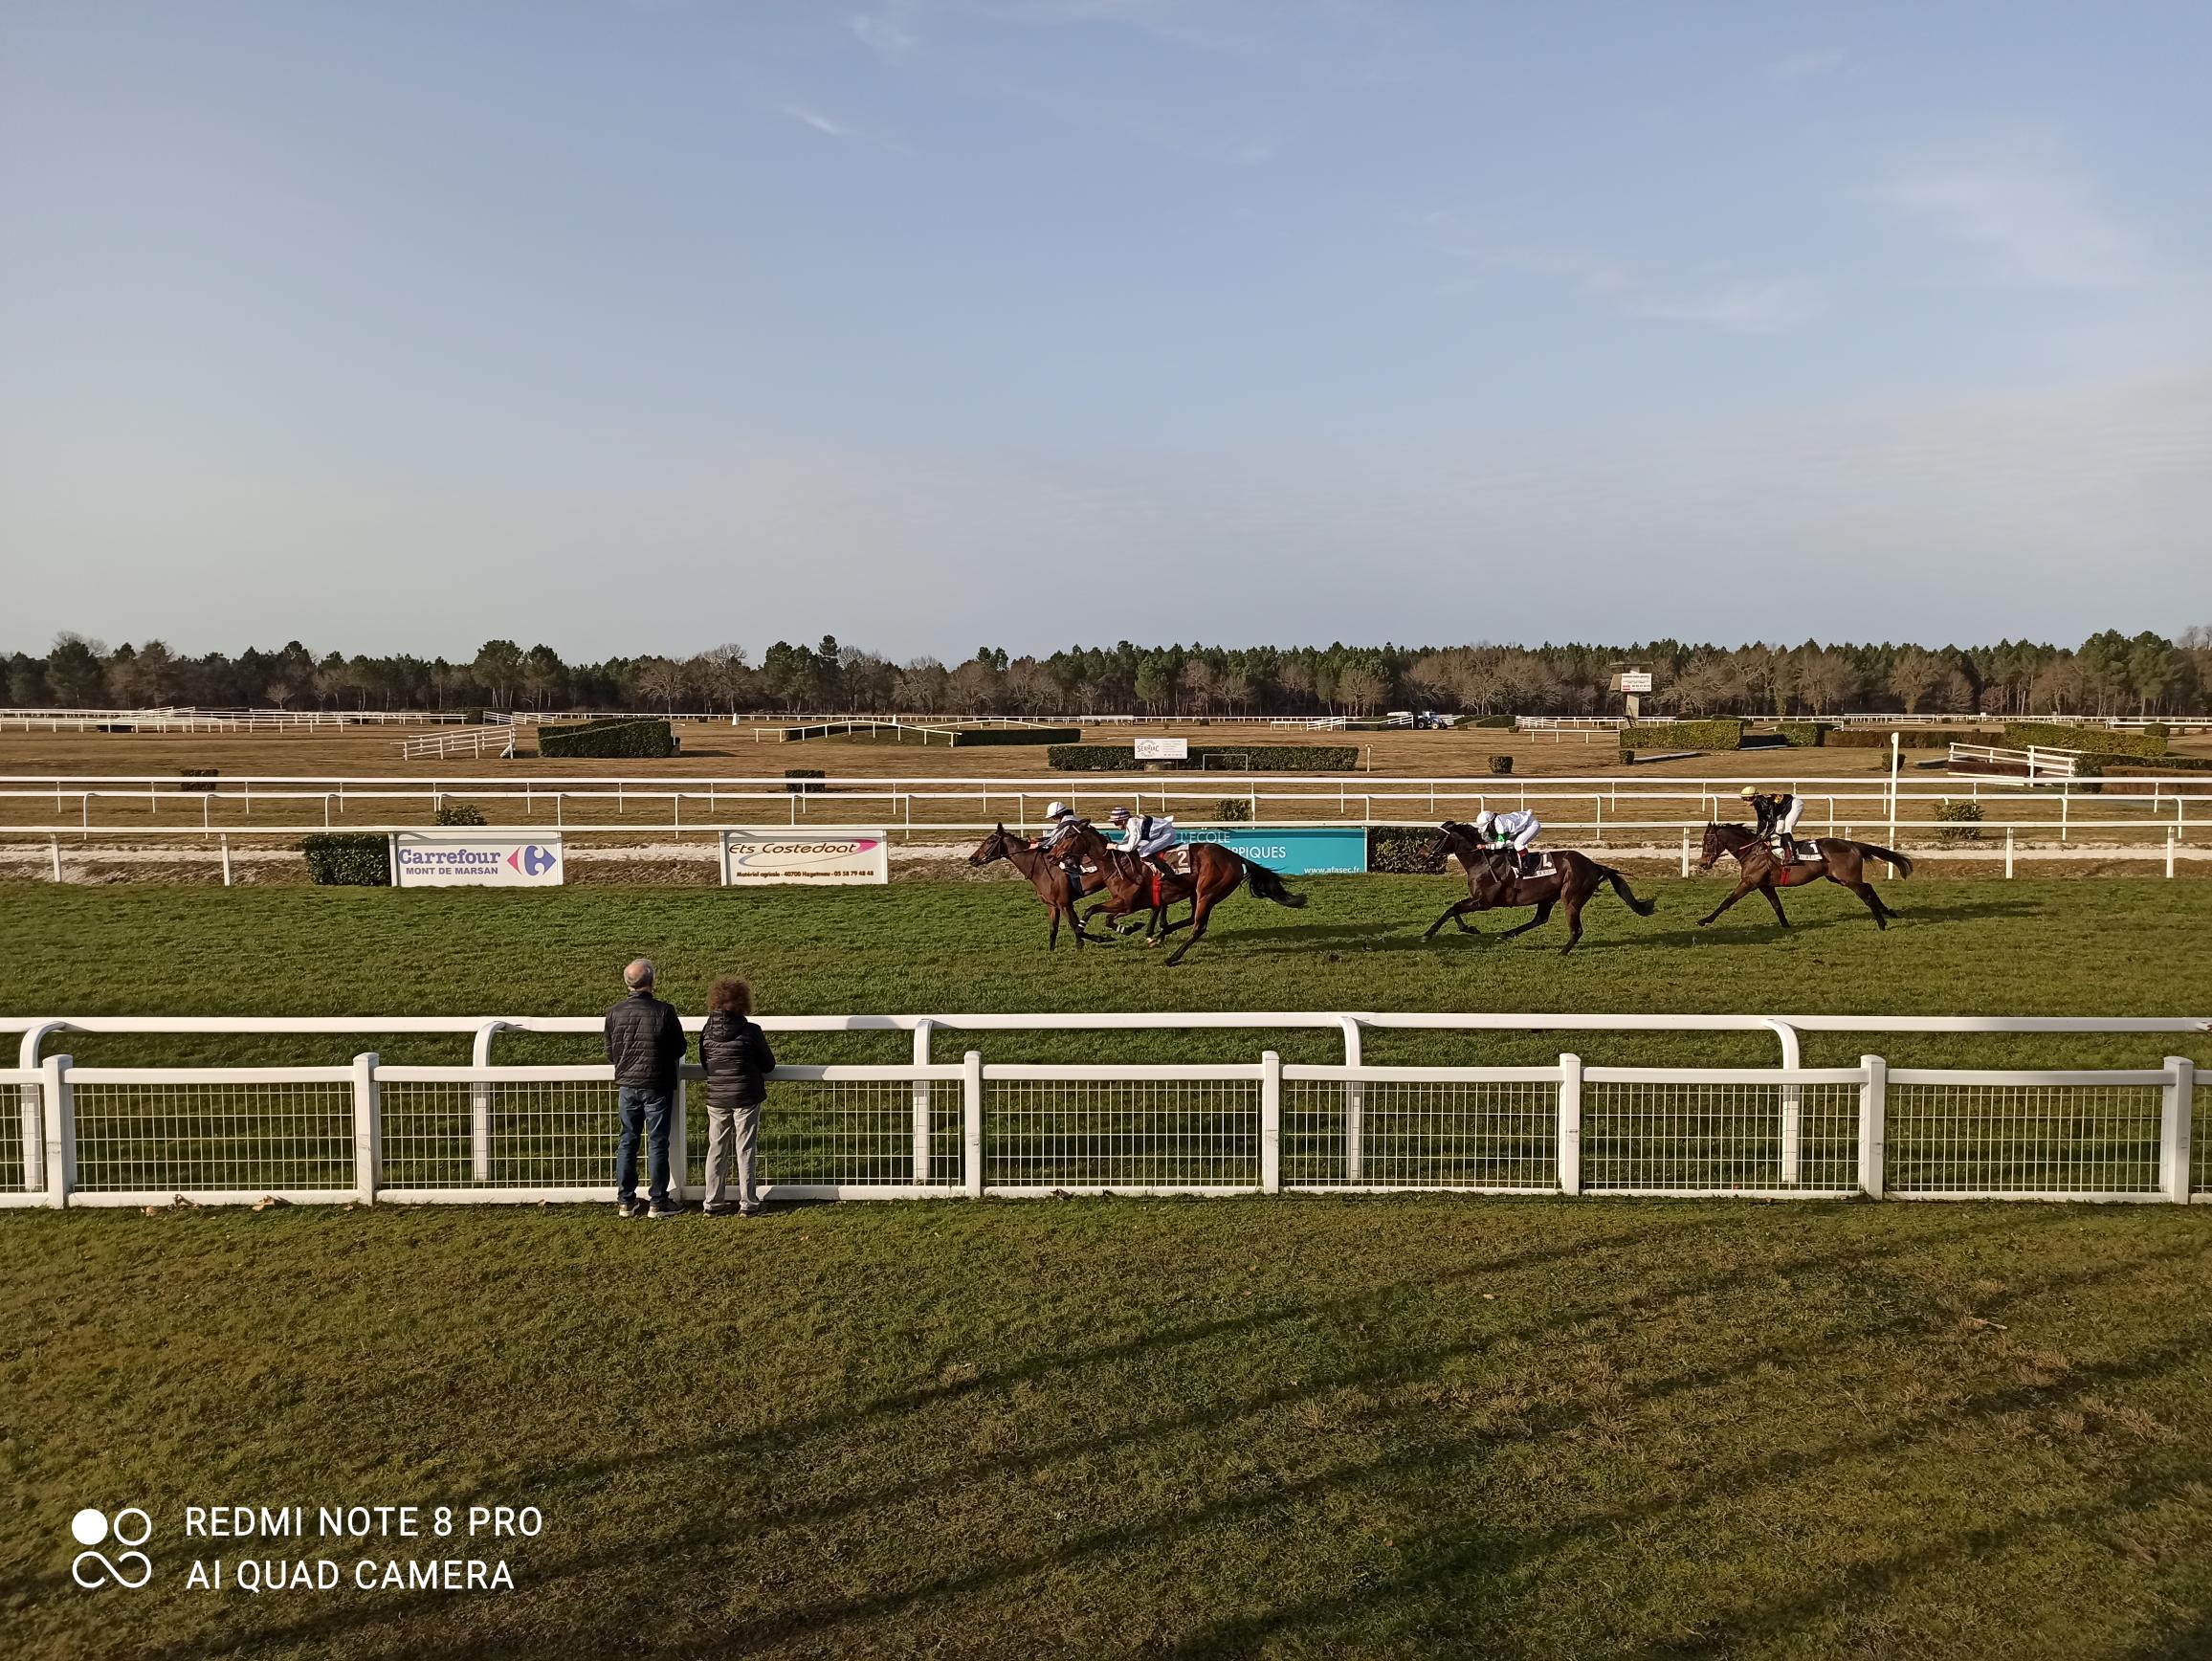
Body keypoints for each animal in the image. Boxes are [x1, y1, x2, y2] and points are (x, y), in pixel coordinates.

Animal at [968, 822, 1115, 946]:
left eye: (990, 841)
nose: (972, 858)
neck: (1041, 868)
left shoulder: (1065, 904)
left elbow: (1076, 926)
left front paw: (1101, 939)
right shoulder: (1052, 905)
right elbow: (1054, 930)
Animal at [1048, 813, 1292, 960]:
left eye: (1069, 836)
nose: (1051, 856)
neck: (1117, 864)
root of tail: (1235, 856)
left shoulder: (1127, 903)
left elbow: (1095, 911)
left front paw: (1096, 930)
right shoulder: (1125, 903)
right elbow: (1103, 916)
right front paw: (1128, 929)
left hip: (1208, 892)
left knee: (1199, 926)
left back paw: (1173, 957)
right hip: (1197, 893)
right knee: (1192, 919)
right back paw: (1161, 935)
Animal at [1424, 822, 1654, 955]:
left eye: (1436, 836)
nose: (1420, 852)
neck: (1482, 861)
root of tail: (1594, 865)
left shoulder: (1484, 902)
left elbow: (1452, 908)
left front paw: (1428, 934)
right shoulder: (1478, 900)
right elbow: (1454, 908)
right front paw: (1468, 928)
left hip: (1571, 898)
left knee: (1576, 929)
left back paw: (1562, 952)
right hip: (1548, 897)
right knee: (1540, 919)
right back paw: (1506, 934)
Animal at [1698, 822, 1911, 938]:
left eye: (1708, 841)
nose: (1702, 863)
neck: (1753, 852)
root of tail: (1853, 845)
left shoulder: (1749, 883)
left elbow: (1727, 901)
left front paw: (1705, 920)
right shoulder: (1765, 886)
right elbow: (1777, 906)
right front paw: (1786, 926)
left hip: (1848, 879)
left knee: (1866, 894)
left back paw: (1882, 923)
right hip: (1838, 878)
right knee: (1869, 887)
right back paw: (1889, 912)